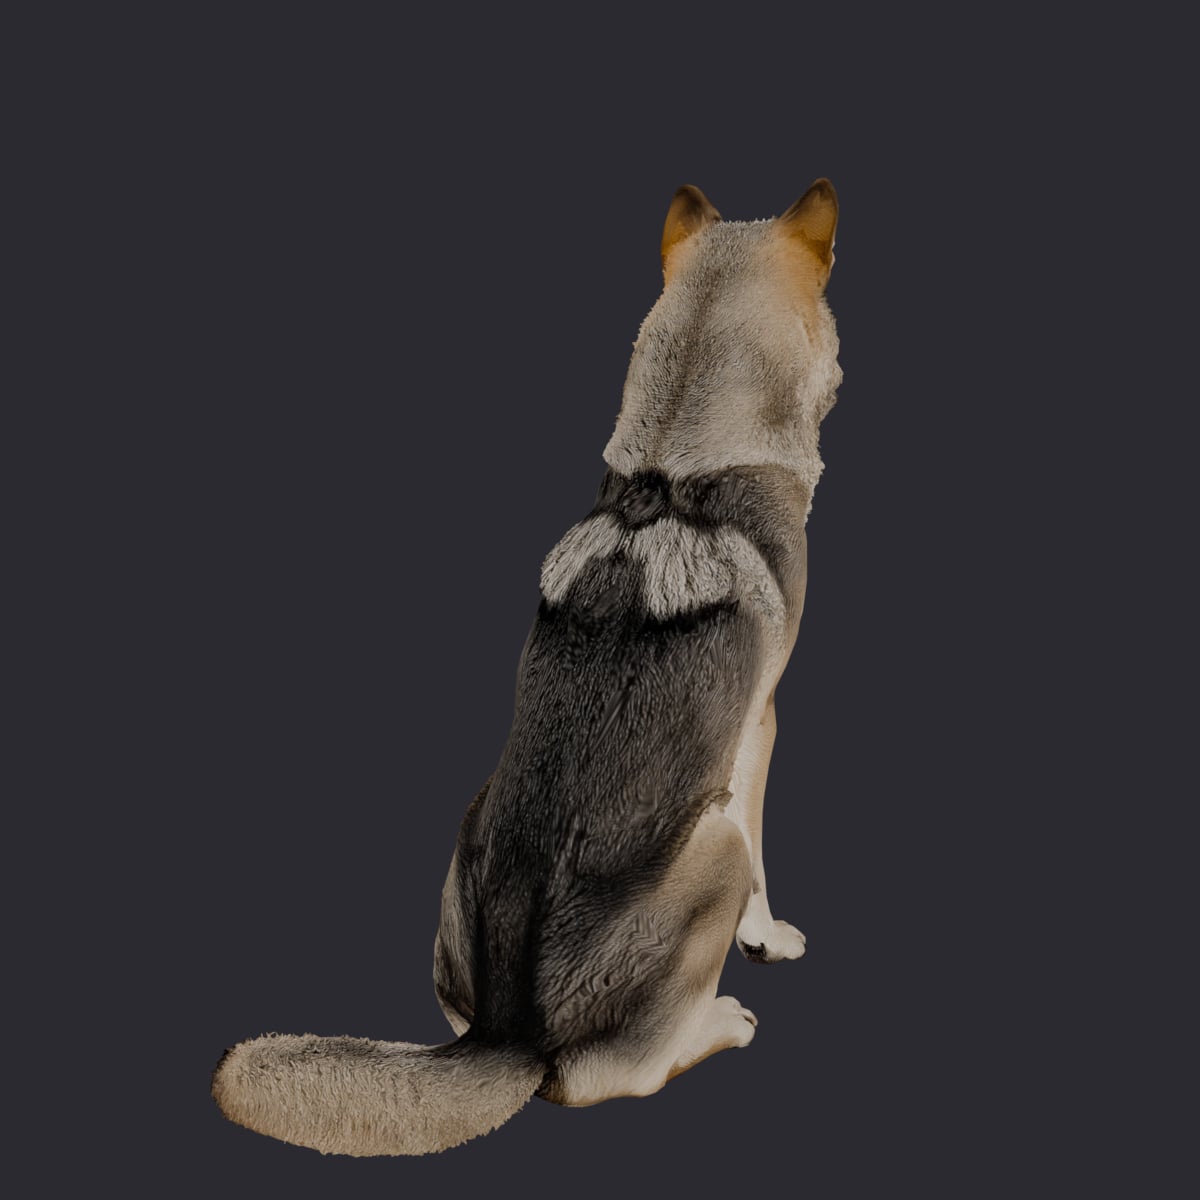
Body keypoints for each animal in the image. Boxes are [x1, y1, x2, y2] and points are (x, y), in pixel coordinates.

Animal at [212, 179, 843, 1155]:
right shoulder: (759, 728)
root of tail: (508, 1035)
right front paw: (768, 941)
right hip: (715, 848)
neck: (676, 460)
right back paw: (721, 1023)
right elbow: (769, 862)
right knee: (608, 1077)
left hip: (469, 826)